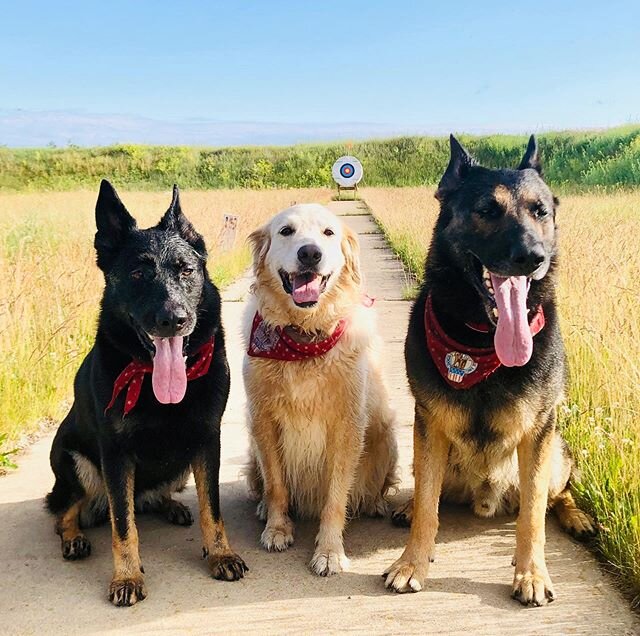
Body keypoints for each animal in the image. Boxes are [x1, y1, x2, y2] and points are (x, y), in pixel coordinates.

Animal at [47, 180, 248, 608]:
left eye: (186, 270)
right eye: (138, 273)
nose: (174, 320)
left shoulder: (207, 441)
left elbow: (212, 509)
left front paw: (220, 553)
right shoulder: (115, 455)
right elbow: (123, 526)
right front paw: (126, 577)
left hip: (181, 465)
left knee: (150, 498)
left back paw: (169, 505)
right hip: (75, 462)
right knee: (68, 511)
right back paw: (73, 537)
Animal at [242, 205, 398, 576]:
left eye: (328, 233)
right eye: (286, 231)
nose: (310, 253)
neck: (304, 336)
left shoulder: (347, 427)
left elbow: (336, 499)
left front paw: (329, 552)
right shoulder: (263, 420)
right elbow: (276, 485)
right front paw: (277, 528)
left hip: (386, 436)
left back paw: (376, 503)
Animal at [382, 135, 596, 608]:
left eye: (540, 211)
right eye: (486, 209)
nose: (532, 257)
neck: (480, 344)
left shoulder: (538, 433)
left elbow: (532, 517)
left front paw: (531, 574)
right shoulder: (429, 424)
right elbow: (427, 507)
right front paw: (412, 563)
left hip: (557, 451)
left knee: (557, 494)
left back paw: (577, 517)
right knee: (430, 491)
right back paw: (407, 506)